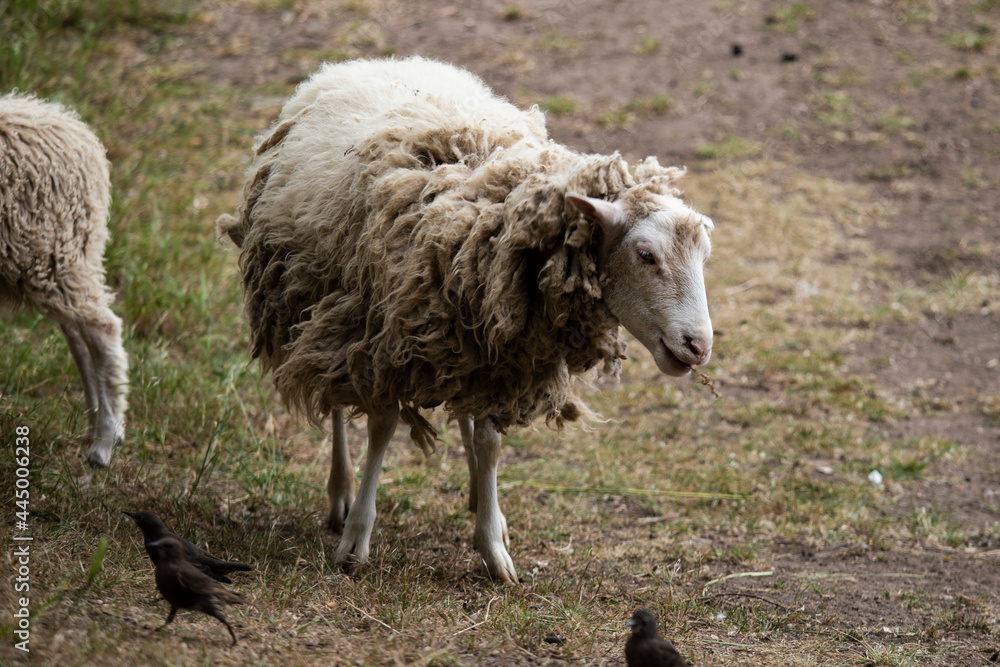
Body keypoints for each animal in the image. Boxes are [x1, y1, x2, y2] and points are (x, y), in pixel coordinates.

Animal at [0, 94, 129, 468]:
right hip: (53, 261)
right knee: (77, 335)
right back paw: (95, 425)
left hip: (47, 252)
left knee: (101, 331)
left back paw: (103, 442)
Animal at [220, 57, 716, 580]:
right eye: (645, 255)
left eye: (706, 256)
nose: (699, 345)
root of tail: (377, 61)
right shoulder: (383, 342)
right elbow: (382, 427)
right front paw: (356, 540)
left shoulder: (501, 356)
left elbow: (489, 443)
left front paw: (492, 546)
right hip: (322, 304)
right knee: (334, 398)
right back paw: (342, 493)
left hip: (450, 342)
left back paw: (481, 497)